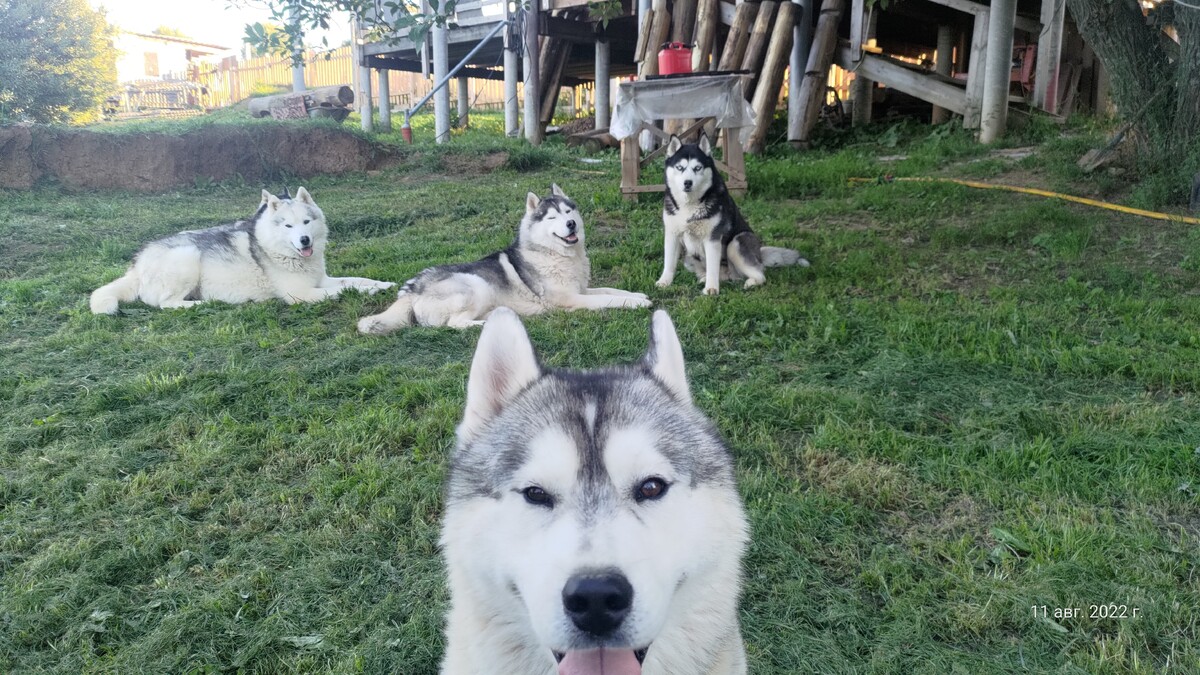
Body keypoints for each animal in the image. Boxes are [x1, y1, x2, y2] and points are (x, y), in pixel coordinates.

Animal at [94, 186, 393, 312]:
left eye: (306, 222)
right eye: (288, 226)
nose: (304, 240)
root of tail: (136, 264)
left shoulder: (322, 280)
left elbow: (356, 279)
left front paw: (382, 284)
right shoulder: (302, 294)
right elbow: (344, 289)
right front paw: (370, 291)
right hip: (186, 257)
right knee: (166, 304)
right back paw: (204, 303)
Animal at [357, 182, 648, 331]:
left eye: (568, 212)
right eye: (551, 218)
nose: (571, 225)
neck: (557, 255)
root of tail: (414, 288)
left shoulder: (582, 289)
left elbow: (611, 289)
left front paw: (637, 295)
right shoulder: (571, 300)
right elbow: (608, 298)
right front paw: (636, 304)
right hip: (476, 286)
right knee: (455, 324)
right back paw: (484, 323)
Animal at [657, 133, 806, 294]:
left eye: (697, 168)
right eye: (680, 167)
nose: (687, 183)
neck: (690, 205)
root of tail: (759, 254)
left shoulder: (712, 238)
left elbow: (713, 268)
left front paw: (711, 289)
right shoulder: (672, 235)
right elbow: (669, 263)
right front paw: (664, 282)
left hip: (735, 244)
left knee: (760, 274)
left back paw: (750, 282)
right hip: (689, 258)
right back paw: (705, 279)